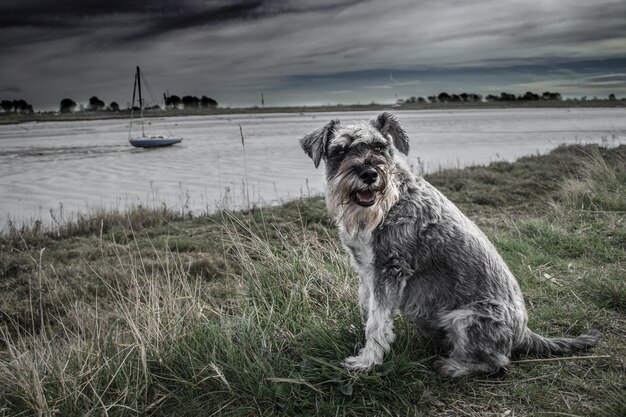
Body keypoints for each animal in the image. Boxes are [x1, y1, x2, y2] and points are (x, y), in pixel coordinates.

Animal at [300, 112, 596, 376]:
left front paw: (367, 361)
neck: (388, 205)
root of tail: (524, 333)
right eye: (340, 150)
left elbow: (378, 321)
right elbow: (367, 307)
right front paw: (360, 339)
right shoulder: (366, 269)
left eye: (380, 147)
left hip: (466, 320)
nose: (369, 174)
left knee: (498, 362)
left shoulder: (390, 269)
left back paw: (454, 367)